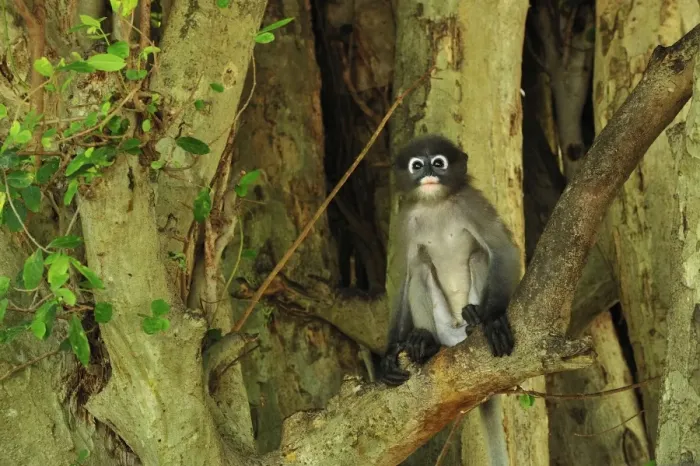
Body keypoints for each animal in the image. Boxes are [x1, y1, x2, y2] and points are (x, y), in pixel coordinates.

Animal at [380, 134, 519, 466]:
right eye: (417, 165)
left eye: (439, 162)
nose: (429, 173)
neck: (436, 204)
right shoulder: (407, 220)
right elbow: (405, 276)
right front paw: (391, 352)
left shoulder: (471, 201)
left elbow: (502, 248)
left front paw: (494, 318)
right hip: (443, 325)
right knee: (420, 268)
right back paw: (424, 341)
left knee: (480, 255)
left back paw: (475, 320)